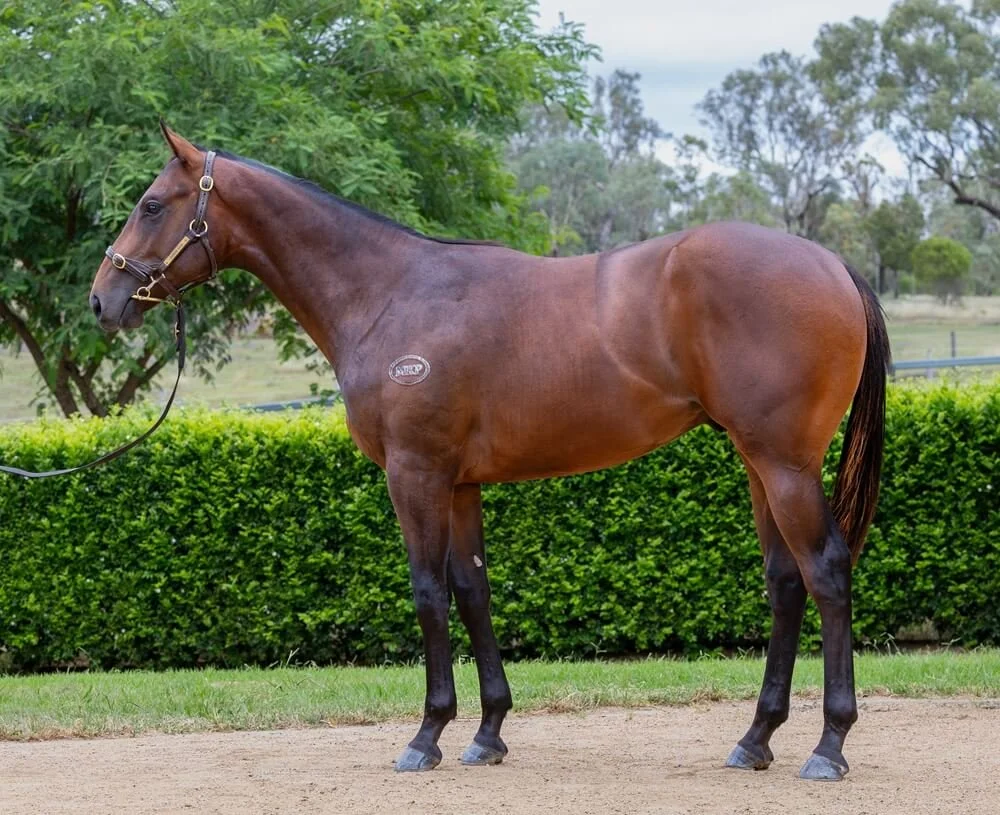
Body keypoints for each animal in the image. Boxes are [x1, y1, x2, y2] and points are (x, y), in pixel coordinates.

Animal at [89, 123, 890, 781]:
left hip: (784, 465)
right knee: (785, 581)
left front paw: (426, 734)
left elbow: (428, 593)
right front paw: (488, 731)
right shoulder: (459, 484)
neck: (391, 292)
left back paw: (829, 745)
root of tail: (833, 264)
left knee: (825, 571)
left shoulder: (414, 474)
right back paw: (756, 739)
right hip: (758, 464)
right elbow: (472, 591)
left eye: (153, 204)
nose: (102, 300)